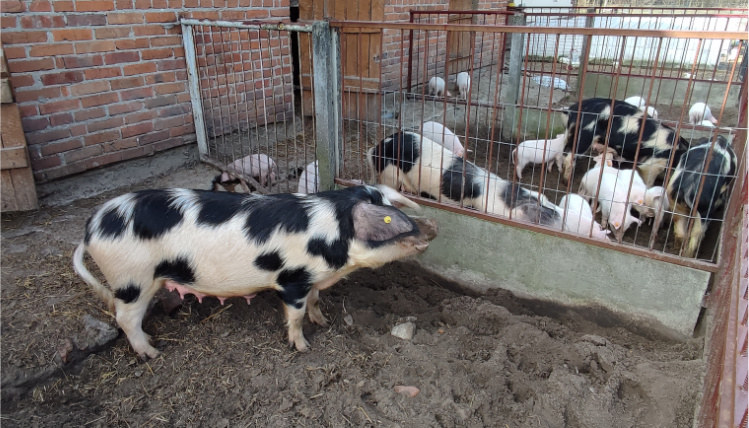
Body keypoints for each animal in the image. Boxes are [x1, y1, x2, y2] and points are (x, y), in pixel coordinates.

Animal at [73, 186, 438, 360]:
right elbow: (295, 315)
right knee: (124, 319)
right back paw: (152, 352)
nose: (432, 227)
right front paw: (303, 346)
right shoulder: (292, 280)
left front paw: (323, 321)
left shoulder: (313, 279)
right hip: (132, 280)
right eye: (393, 223)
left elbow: (316, 301)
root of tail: (90, 229)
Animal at [560, 98, 688, 186]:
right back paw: (567, 182)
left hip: (570, 132)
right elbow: (648, 177)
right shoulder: (656, 160)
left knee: (564, 151)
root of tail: (574, 109)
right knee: (570, 156)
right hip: (585, 135)